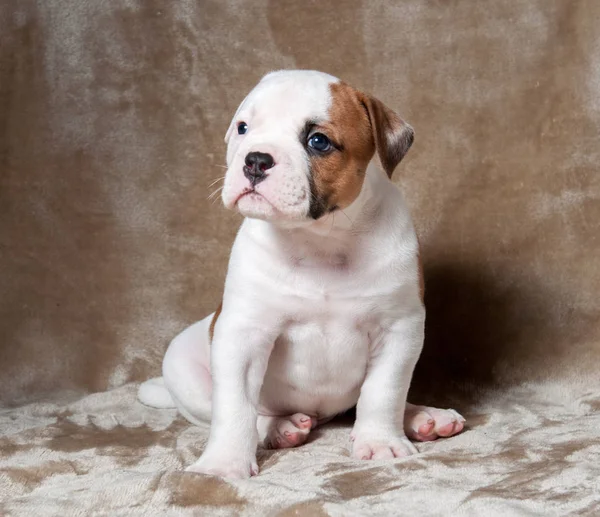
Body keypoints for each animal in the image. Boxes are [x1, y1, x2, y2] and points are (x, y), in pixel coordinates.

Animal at [138, 69, 466, 480]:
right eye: (243, 127)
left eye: (318, 141)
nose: (256, 159)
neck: (319, 239)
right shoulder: (243, 335)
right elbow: (235, 407)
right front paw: (223, 463)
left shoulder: (398, 329)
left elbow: (383, 391)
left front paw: (379, 441)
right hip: (185, 371)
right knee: (244, 412)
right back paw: (281, 428)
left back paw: (423, 417)